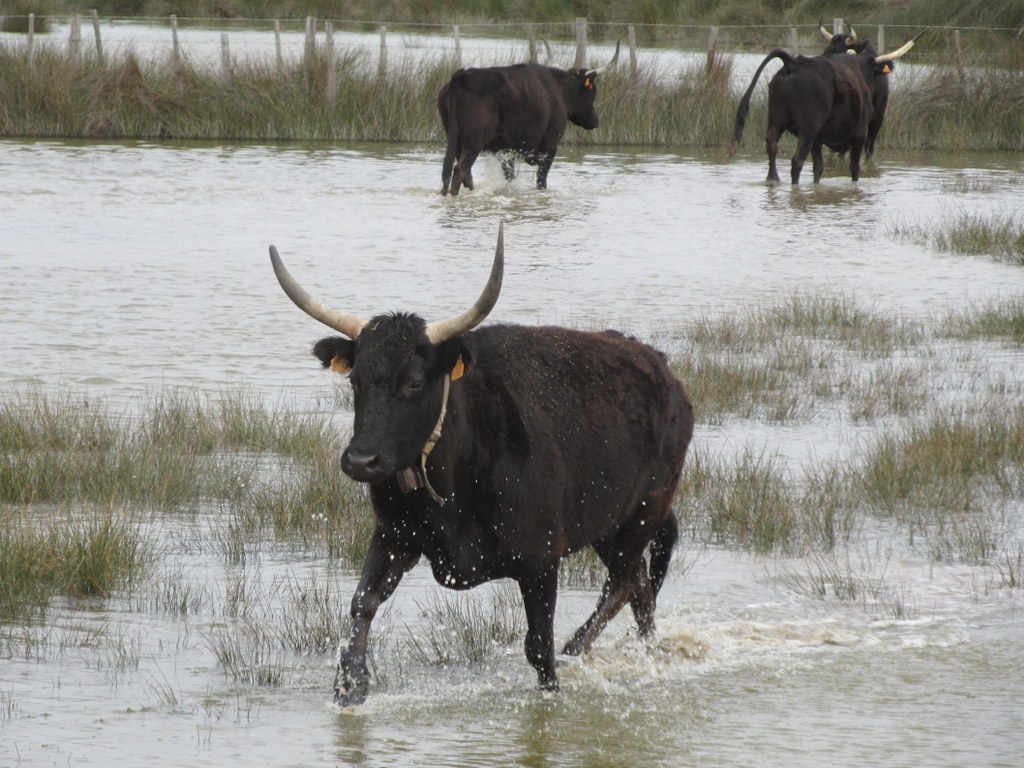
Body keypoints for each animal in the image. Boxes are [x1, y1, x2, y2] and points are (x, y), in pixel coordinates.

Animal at [270, 222, 696, 704]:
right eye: (355, 381)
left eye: (415, 383)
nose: (362, 461)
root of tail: (662, 368)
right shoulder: (394, 536)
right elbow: (362, 603)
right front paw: (350, 686)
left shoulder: (541, 559)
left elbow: (538, 647)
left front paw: (552, 691)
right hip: (610, 524)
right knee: (639, 586)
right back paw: (646, 649)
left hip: (643, 511)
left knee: (622, 584)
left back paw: (578, 651)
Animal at [436, 42, 618, 195]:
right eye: (592, 91)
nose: (595, 121)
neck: (558, 90)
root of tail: (462, 75)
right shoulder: (550, 147)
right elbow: (541, 181)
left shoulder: (506, 149)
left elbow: (509, 176)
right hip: (474, 141)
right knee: (460, 171)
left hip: (456, 139)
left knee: (460, 173)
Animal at [729, 32, 921, 185]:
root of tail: (793, 63)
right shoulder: (859, 133)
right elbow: (854, 168)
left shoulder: (819, 139)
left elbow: (818, 167)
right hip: (808, 129)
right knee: (797, 161)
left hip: (777, 120)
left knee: (771, 145)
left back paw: (773, 178)